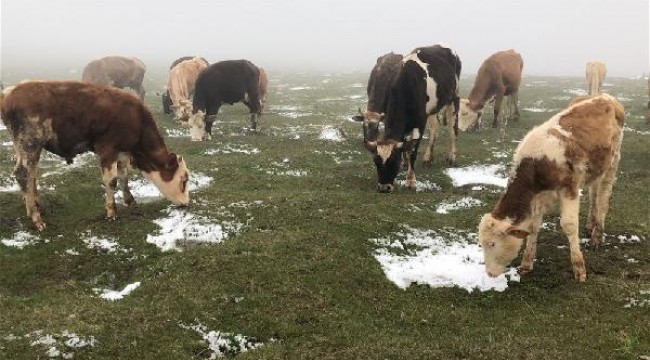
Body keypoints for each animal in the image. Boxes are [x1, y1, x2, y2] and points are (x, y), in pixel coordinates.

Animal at [0, 80, 191, 231]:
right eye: (183, 180)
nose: (186, 203)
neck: (135, 118)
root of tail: (10, 93)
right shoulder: (108, 149)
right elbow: (111, 181)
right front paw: (111, 212)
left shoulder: (122, 152)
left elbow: (124, 177)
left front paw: (131, 201)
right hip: (31, 144)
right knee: (25, 174)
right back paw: (36, 218)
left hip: (22, 147)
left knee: (25, 174)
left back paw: (34, 207)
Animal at [350, 44, 460, 193]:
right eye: (376, 161)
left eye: (393, 160)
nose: (384, 188)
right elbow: (404, 144)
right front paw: (405, 163)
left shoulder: (419, 122)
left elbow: (411, 151)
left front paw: (410, 180)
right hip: (432, 108)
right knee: (435, 129)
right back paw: (428, 158)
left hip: (453, 98)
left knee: (452, 128)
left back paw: (452, 157)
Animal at [476, 93, 624, 282]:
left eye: (492, 243)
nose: (489, 273)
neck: (536, 163)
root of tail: (604, 96)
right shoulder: (539, 196)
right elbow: (533, 227)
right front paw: (526, 264)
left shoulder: (569, 188)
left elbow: (569, 225)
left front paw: (579, 268)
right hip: (595, 169)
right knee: (593, 195)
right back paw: (590, 225)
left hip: (613, 162)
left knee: (603, 198)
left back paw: (597, 236)